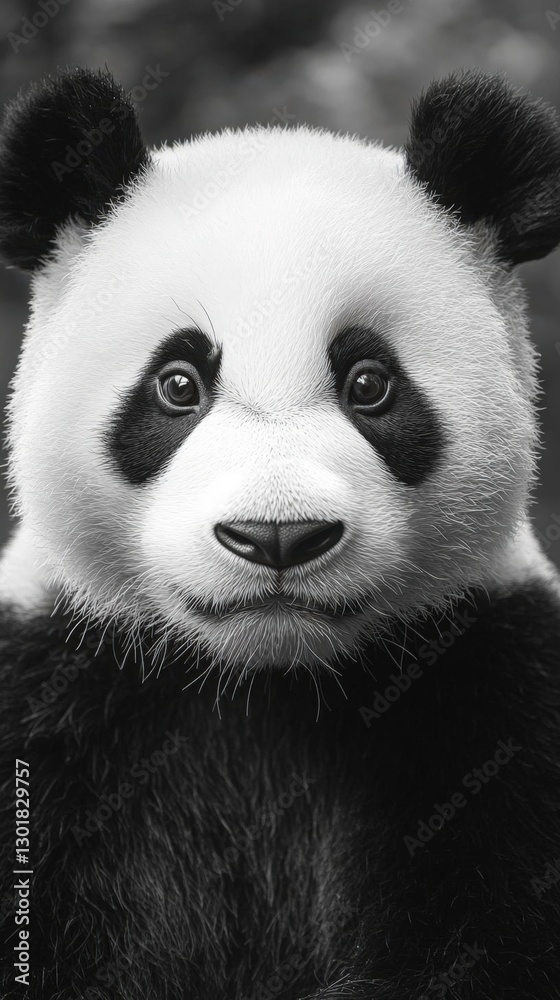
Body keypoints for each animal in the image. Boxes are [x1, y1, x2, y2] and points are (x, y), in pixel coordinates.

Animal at [0, 65, 560, 999]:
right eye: (177, 384)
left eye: (370, 382)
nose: (276, 536)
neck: (265, 683)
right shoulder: (51, 691)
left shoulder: (496, 689)